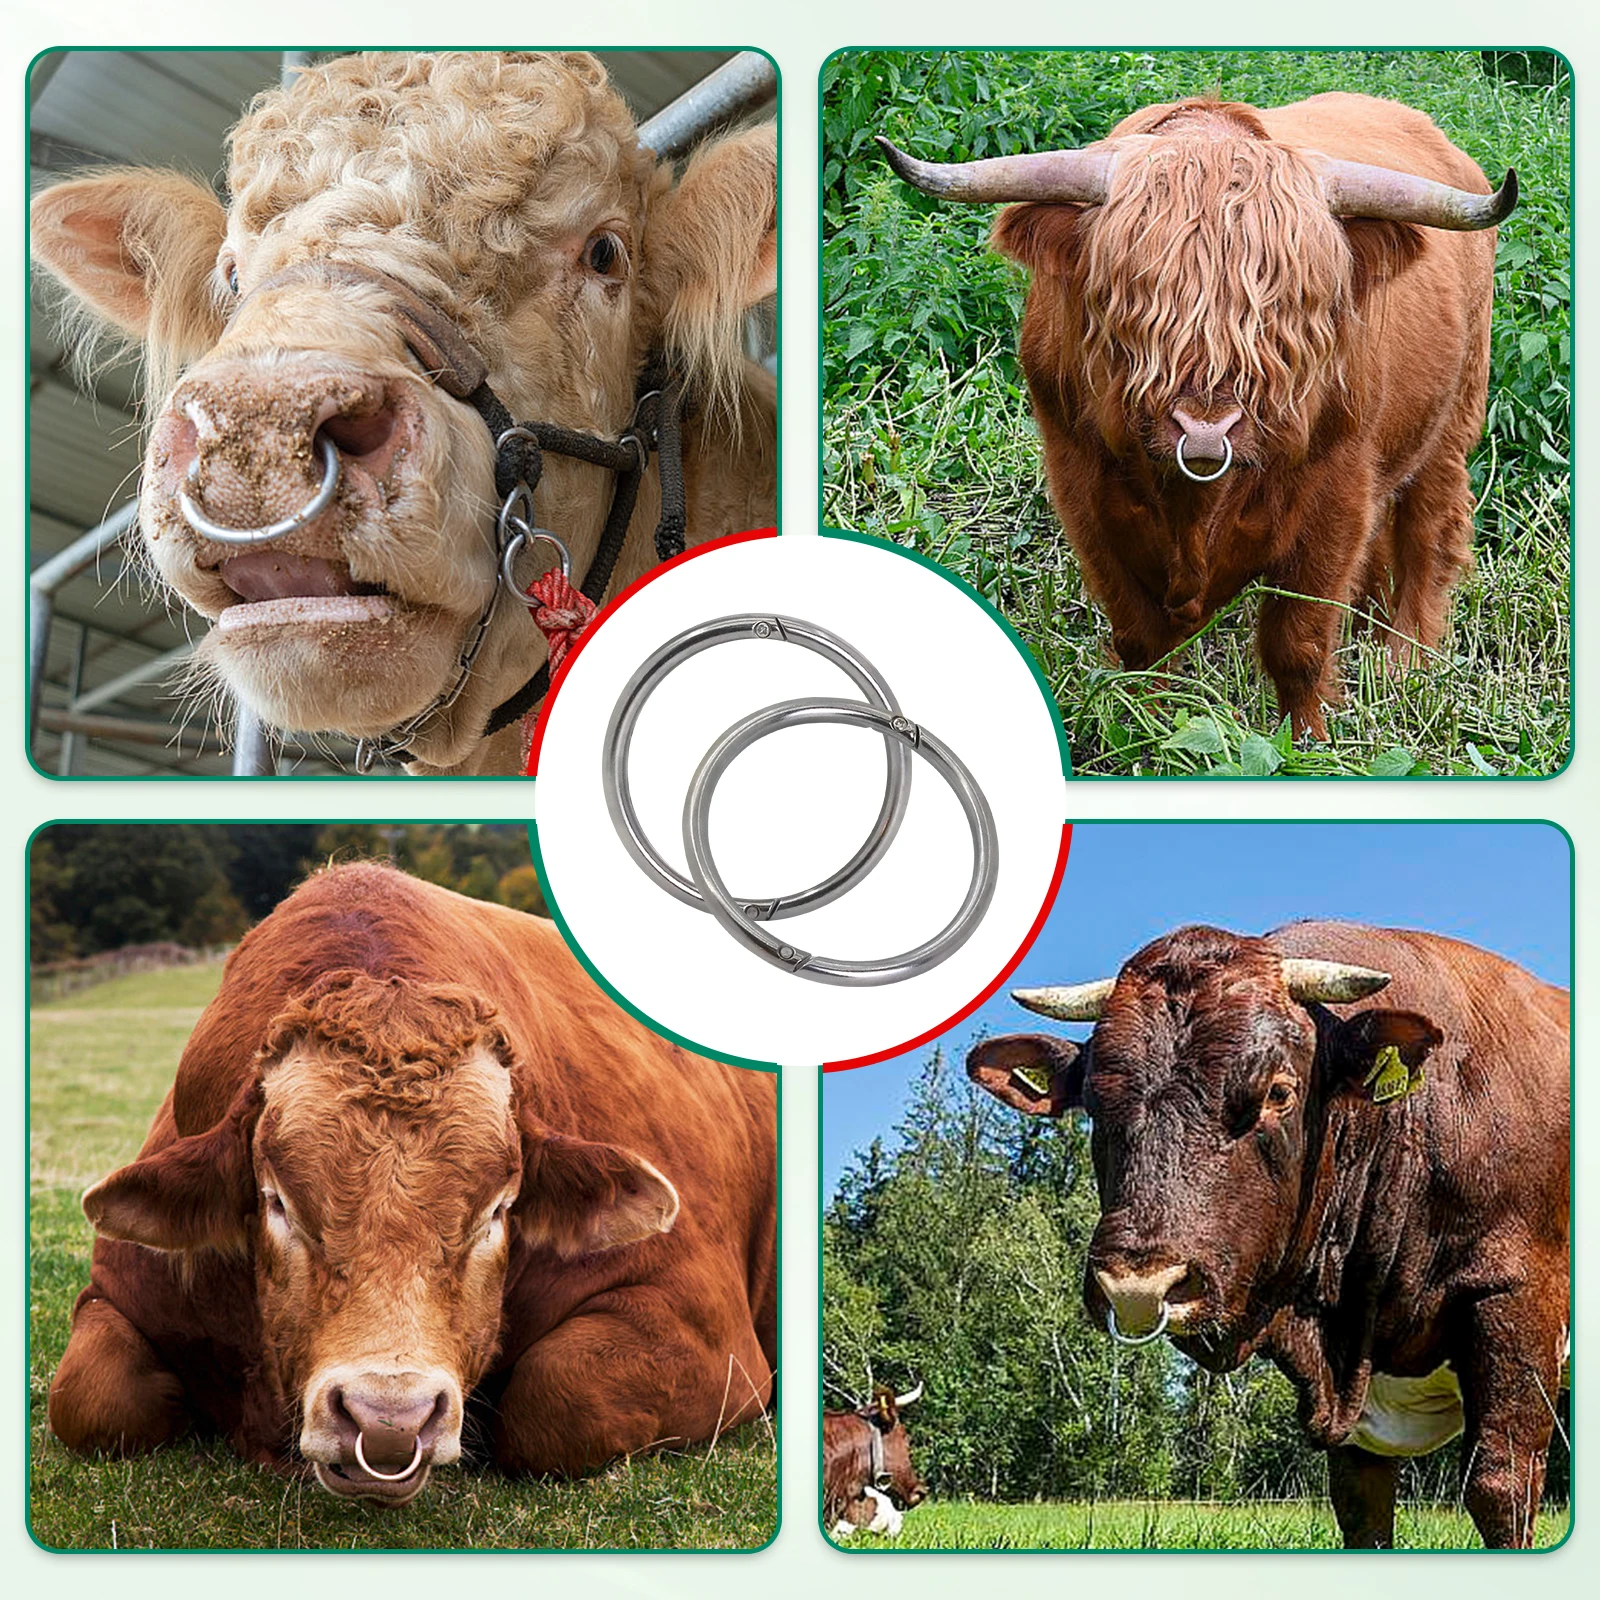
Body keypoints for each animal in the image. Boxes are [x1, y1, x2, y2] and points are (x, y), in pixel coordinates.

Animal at [47, 861, 777, 1506]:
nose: (387, 1420)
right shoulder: (121, 1289)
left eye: (498, 1211)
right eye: (278, 1202)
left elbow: (557, 1398)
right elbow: (88, 1396)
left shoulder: (713, 1341)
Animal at [879, 93, 1518, 738]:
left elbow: (1298, 643)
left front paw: (1309, 740)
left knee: (1428, 534)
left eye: (1291, 309)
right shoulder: (1081, 487)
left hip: (1454, 420)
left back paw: (1404, 663)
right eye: (1129, 301)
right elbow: (1143, 640)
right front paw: (1149, 725)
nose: (1205, 430)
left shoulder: (1338, 489)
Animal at [965, 921, 1569, 1547]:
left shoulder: (1518, 1303)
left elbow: (1501, 1488)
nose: (1137, 1287)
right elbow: (1362, 1507)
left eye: (1279, 1092)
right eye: (1092, 1101)